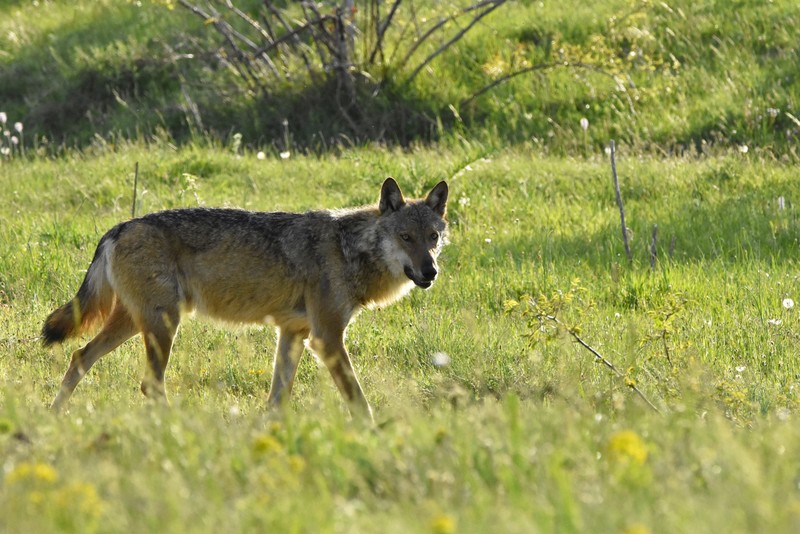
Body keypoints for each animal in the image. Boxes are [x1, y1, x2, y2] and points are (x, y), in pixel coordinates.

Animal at [42, 180, 450, 422]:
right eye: (405, 237)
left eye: (432, 237)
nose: (430, 271)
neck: (349, 249)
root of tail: (119, 227)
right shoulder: (327, 338)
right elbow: (358, 399)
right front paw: (374, 433)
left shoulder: (293, 334)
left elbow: (277, 399)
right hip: (162, 325)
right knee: (149, 385)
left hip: (134, 323)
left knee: (79, 357)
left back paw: (53, 415)